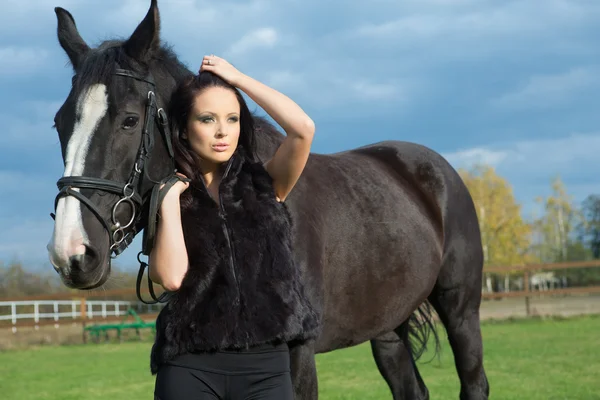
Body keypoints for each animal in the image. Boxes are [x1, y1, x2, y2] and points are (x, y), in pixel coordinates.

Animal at [45, 1, 488, 398]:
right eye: (59, 122)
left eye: (129, 119)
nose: (72, 253)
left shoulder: (300, 353)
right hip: (387, 327)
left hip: (461, 308)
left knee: (473, 381)